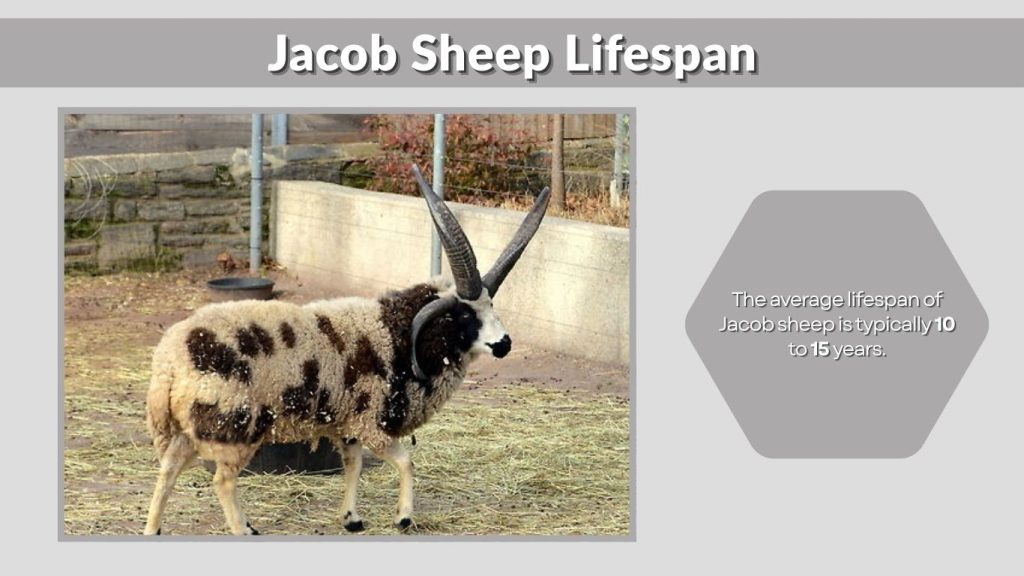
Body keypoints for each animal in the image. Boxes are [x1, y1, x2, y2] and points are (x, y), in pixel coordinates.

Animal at [143, 165, 550, 535]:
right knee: (222, 481)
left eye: (492, 305)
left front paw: (351, 518)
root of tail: (168, 363)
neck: (396, 332)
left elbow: (352, 465)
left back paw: (154, 529)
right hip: (231, 424)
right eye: (465, 314)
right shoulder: (373, 422)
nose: (505, 343)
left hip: (191, 426)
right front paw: (404, 518)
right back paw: (243, 529)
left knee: (168, 469)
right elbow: (406, 463)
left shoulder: (351, 423)